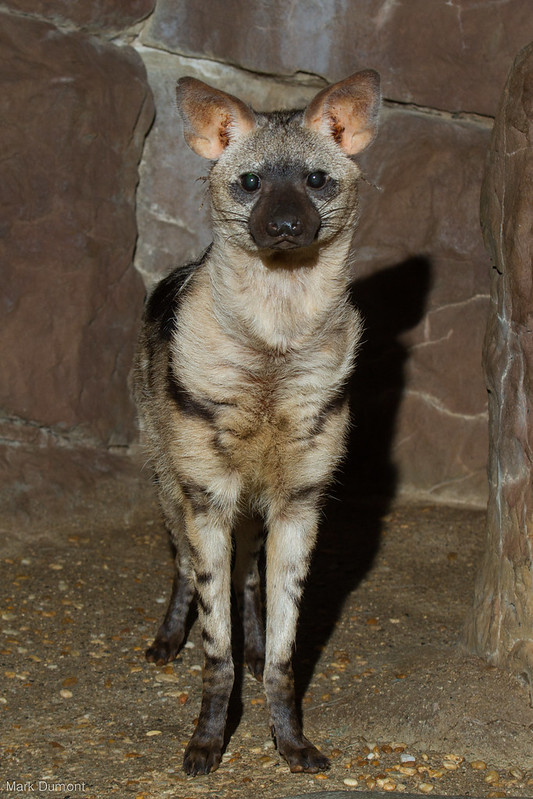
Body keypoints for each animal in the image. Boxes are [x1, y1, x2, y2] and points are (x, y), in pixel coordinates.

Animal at [133, 70, 381, 776]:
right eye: (250, 182)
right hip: (171, 487)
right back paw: (167, 639)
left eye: (316, 180)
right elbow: (215, 654)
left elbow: (282, 653)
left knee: (246, 578)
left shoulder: (299, 503)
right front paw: (207, 743)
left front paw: (290, 742)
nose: (286, 224)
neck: (272, 351)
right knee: (185, 566)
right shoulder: (208, 496)